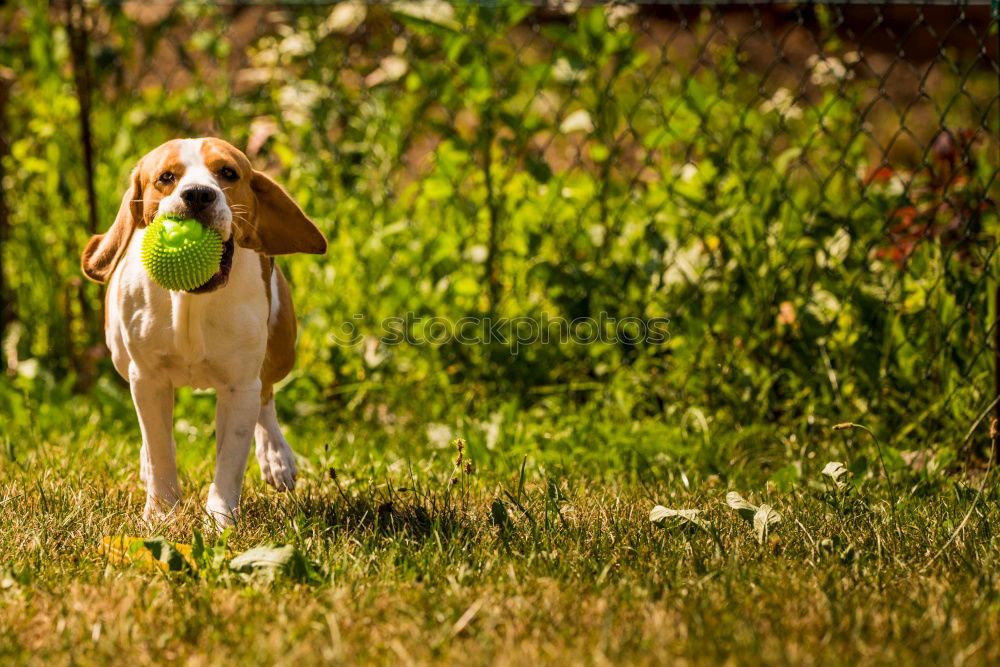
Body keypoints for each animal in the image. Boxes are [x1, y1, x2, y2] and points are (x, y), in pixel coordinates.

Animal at [83, 138, 324, 528]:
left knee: (267, 393)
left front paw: (221, 519)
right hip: (120, 354)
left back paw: (277, 457)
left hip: (281, 350)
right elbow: (160, 448)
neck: (191, 301)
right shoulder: (148, 379)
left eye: (228, 172)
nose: (197, 194)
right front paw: (161, 512)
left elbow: (231, 458)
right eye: (166, 177)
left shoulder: (239, 387)